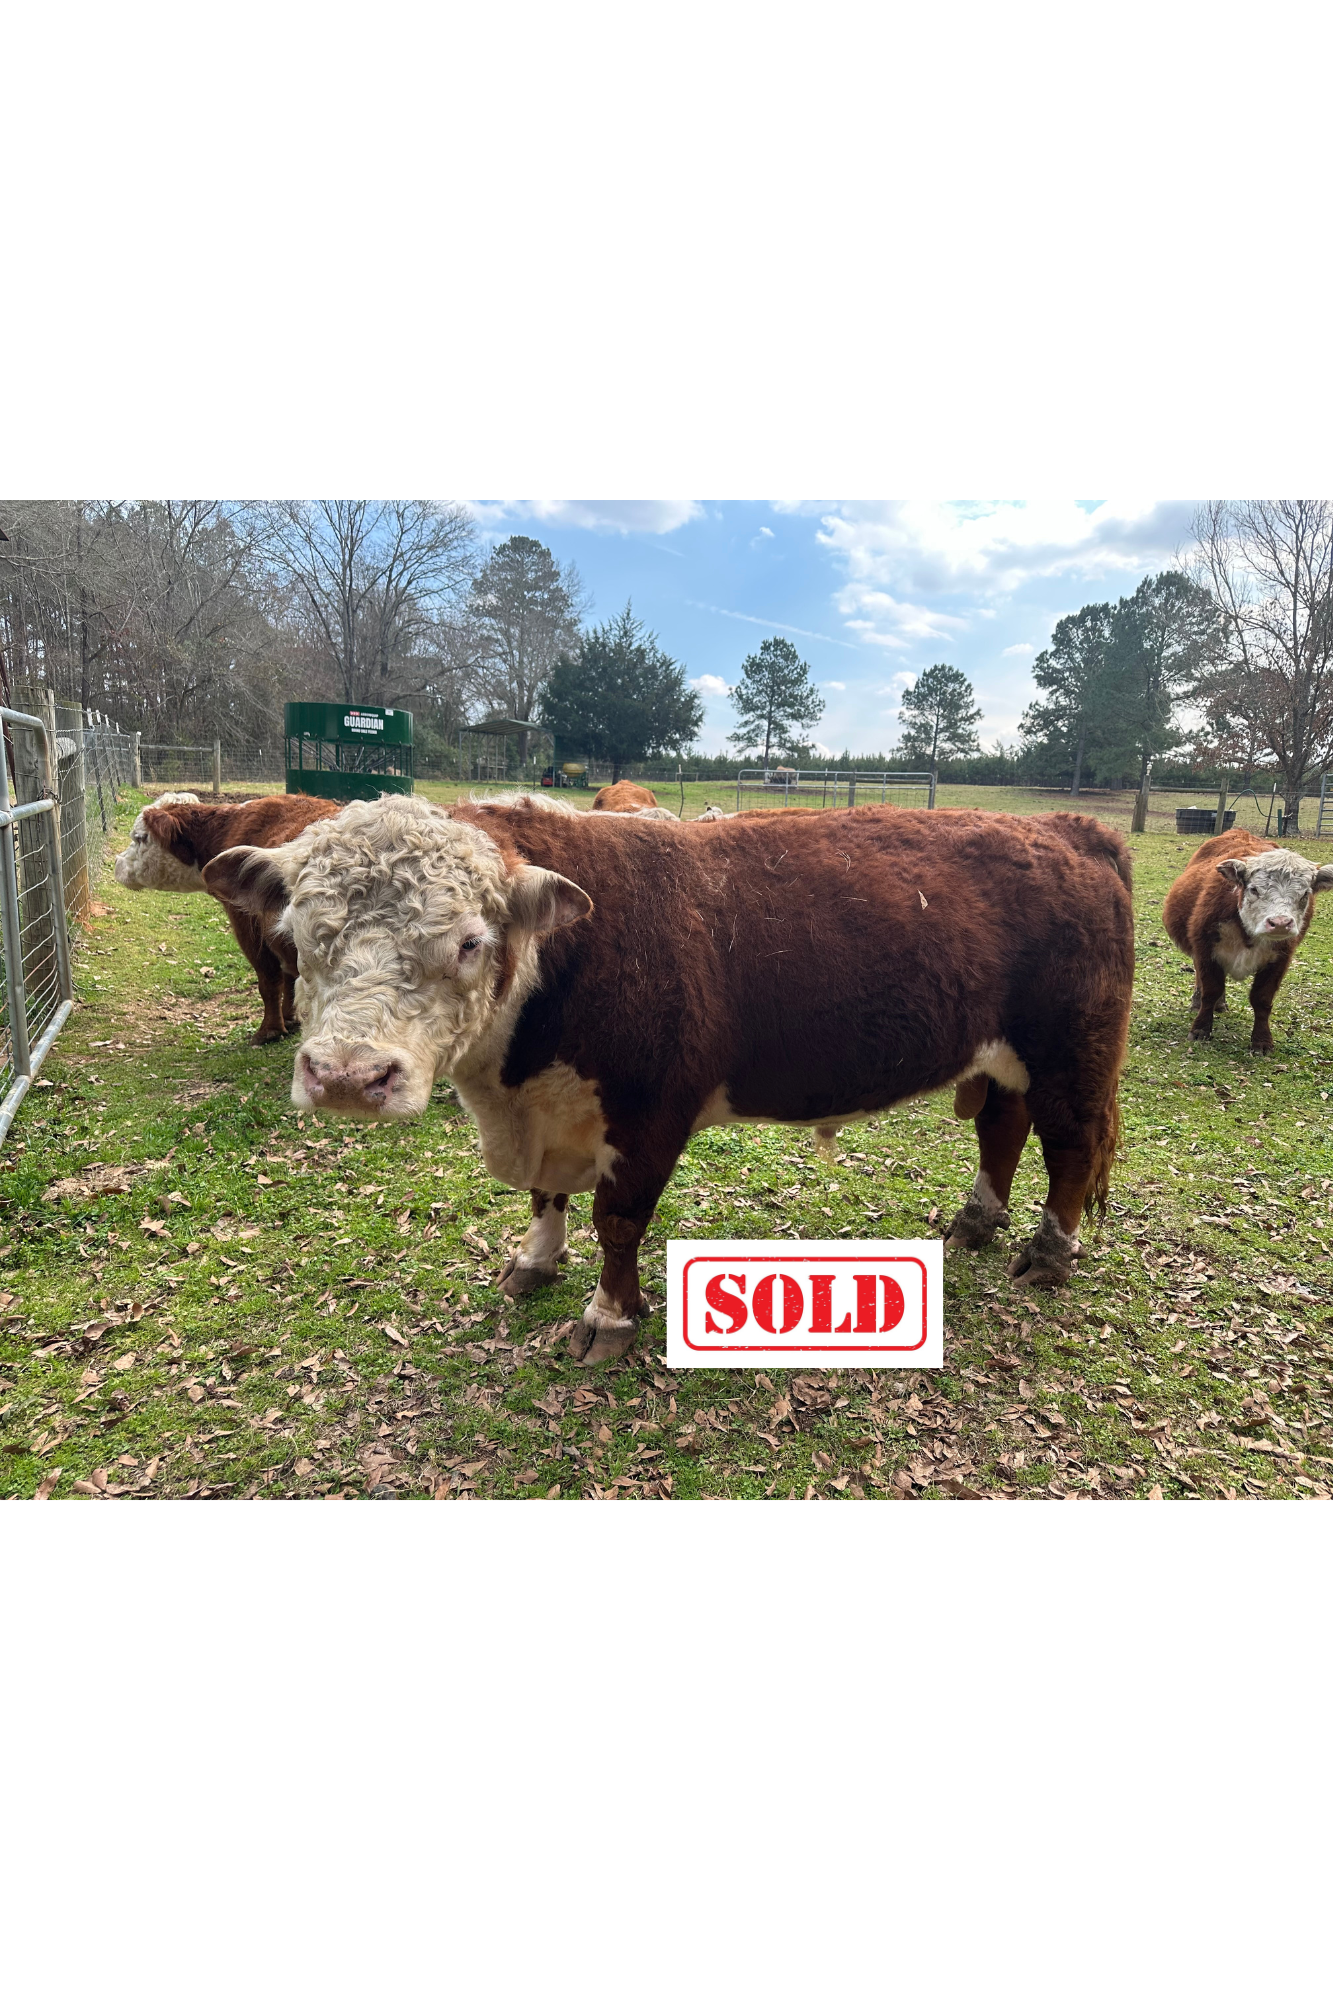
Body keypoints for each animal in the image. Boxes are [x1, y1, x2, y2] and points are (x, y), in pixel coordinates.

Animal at [115, 793, 341, 1043]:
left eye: (140, 838)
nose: (117, 863)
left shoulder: (246, 924)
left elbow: (269, 980)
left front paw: (269, 1030)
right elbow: (289, 978)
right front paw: (289, 1018)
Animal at [203, 797, 1135, 1362]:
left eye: (469, 941)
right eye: (295, 933)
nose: (346, 1076)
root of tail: (1067, 827)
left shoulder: (651, 1111)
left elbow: (618, 1222)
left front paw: (606, 1318)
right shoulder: (554, 1117)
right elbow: (545, 1197)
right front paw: (535, 1259)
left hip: (1072, 1052)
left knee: (1070, 1143)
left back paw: (1049, 1252)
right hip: (1005, 1058)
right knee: (1002, 1127)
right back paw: (977, 1218)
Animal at [1163, 830, 1333, 1051]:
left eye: (1305, 894)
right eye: (1254, 889)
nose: (1280, 923)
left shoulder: (1280, 959)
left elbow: (1262, 999)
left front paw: (1262, 1041)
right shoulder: (1205, 948)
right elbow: (1211, 989)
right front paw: (1200, 1029)